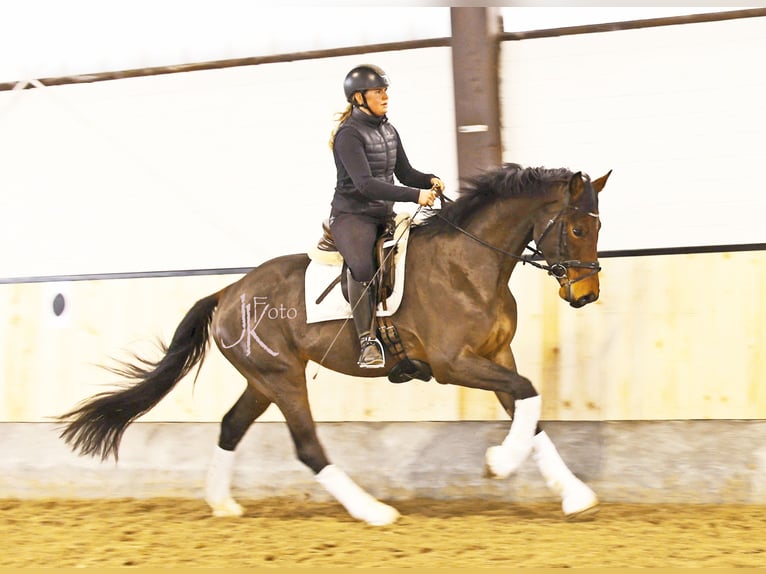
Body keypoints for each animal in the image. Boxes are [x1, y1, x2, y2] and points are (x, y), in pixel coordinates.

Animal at [57, 163, 612, 528]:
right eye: (577, 227)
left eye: (599, 226)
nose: (586, 294)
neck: (471, 266)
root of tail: (228, 292)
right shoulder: (455, 363)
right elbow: (529, 392)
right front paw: (499, 463)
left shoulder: (496, 355)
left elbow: (529, 409)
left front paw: (574, 496)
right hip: (283, 378)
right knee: (307, 445)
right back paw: (373, 511)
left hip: (263, 380)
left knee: (231, 425)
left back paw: (223, 504)